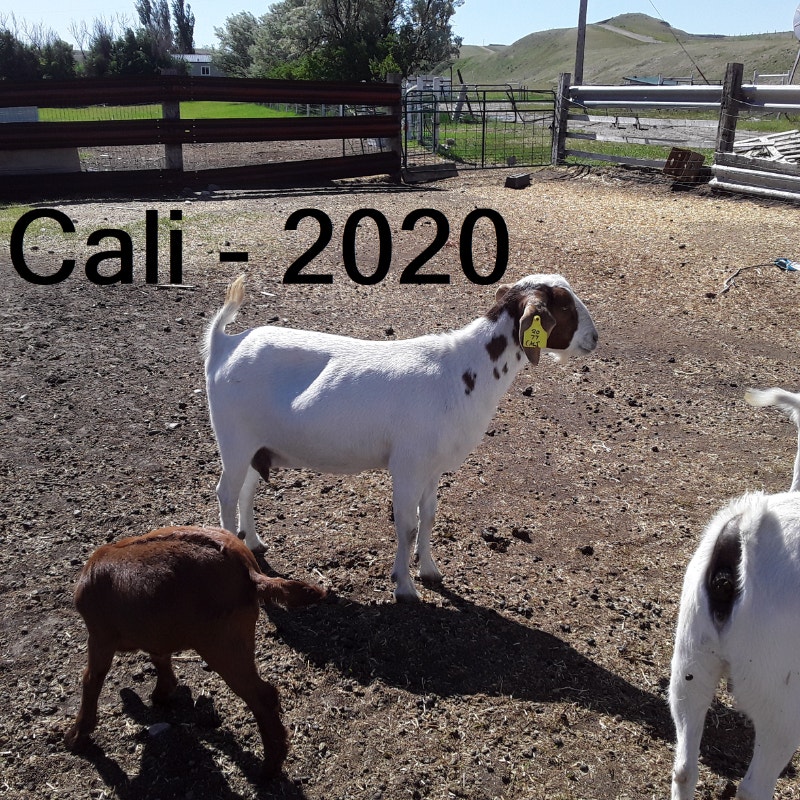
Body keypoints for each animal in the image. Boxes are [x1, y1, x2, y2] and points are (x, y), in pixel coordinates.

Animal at [65, 526, 326, 778]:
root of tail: (248, 571)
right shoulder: (157, 631)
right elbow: (160, 659)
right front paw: (162, 694)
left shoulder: (99, 636)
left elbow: (91, 678)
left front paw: (77, 735)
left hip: (223, 645)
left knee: (263, 696)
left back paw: (269, 768)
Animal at [203, 274, 598, 602]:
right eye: (564, 305)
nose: (594, 338)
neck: (462, 371)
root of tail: (224, 345)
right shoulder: (408, 465)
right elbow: (407, 526)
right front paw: (405, 587)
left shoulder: (432, 467)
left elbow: (429, 517)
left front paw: (430, 571)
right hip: (234, 438)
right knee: (226, 493)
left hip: (258, 444)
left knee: (246, 490)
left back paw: (254, 543)